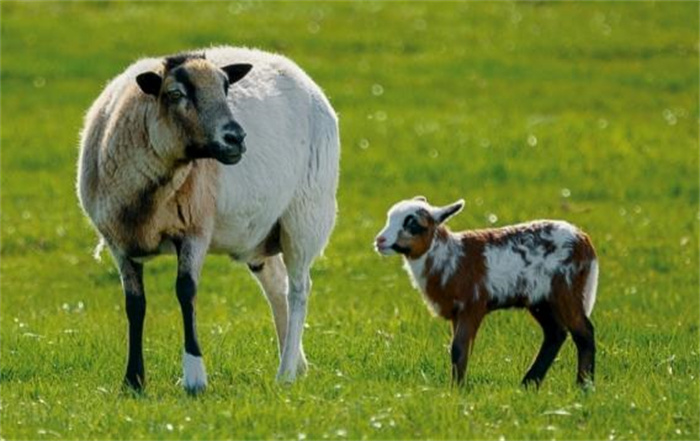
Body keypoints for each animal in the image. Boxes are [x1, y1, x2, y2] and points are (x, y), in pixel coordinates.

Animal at [76, 47, 340, 392]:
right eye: (175, 94)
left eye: (226, 88)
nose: (236, 138)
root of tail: (297, 72)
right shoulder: (118, 242)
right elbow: (135, 305)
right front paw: (133, 381)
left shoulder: (195, 229)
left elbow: (185, 291)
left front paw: (194, 377)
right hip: (261, 232)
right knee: (277, 285)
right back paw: (295, 363)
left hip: (305, 215)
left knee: (298, 290)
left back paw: (284, 374)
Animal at [374, 196, 600, 384]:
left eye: (412, 224)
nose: (380, 241)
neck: (450, 256)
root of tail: (584, 240)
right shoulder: (457, 313)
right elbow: (458, 350)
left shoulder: (472, 305)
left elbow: (459, 349)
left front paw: (457, 390)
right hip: (540, 299)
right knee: (555, 334)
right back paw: (529, 384)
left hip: (567, 289)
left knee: (584, 333)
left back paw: (584, 386)